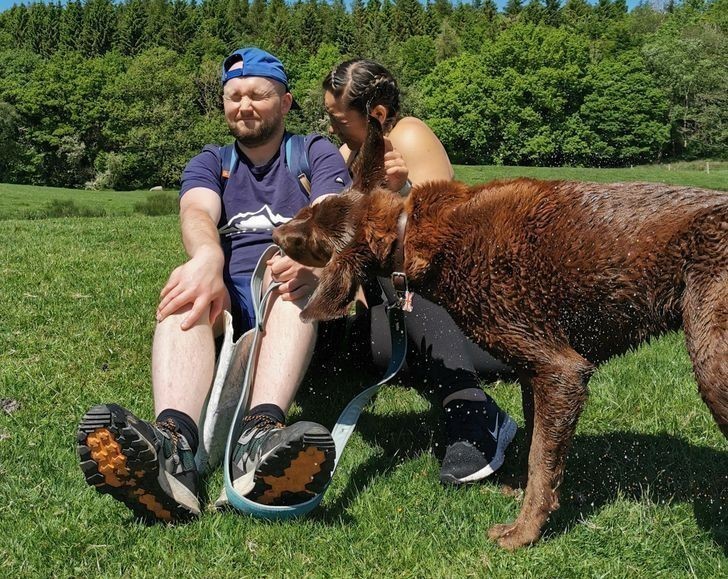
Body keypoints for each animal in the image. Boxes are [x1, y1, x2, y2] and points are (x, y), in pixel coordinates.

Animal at [270, 120, 724, 552]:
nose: (274, 233)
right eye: (308, 209)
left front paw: (524, 531)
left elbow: (541, 458)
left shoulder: (562, 370)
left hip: (712, 363)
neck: (407, 234)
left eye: (308, 241)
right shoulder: (534, 374)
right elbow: (539, 447)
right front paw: (528, 497)